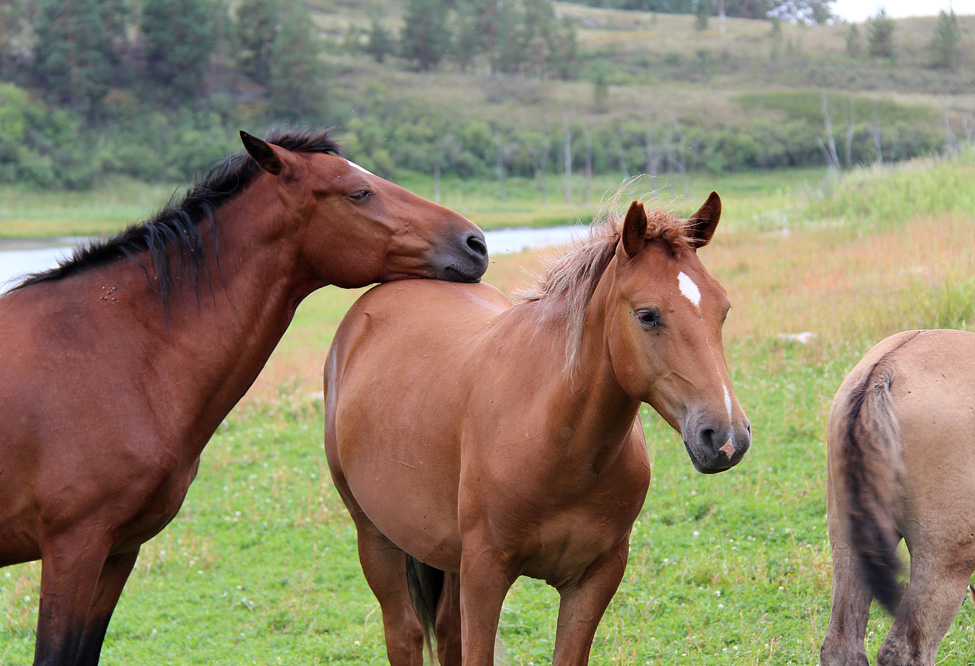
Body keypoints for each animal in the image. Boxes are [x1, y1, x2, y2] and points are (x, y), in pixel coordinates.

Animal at [324, 192, 752, 664]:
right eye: (647, 315)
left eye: (723, 309)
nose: (726, 439)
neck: (554, 438)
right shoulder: (484, 573)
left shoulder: (595, 578)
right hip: (375, 536)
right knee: (404, 633)